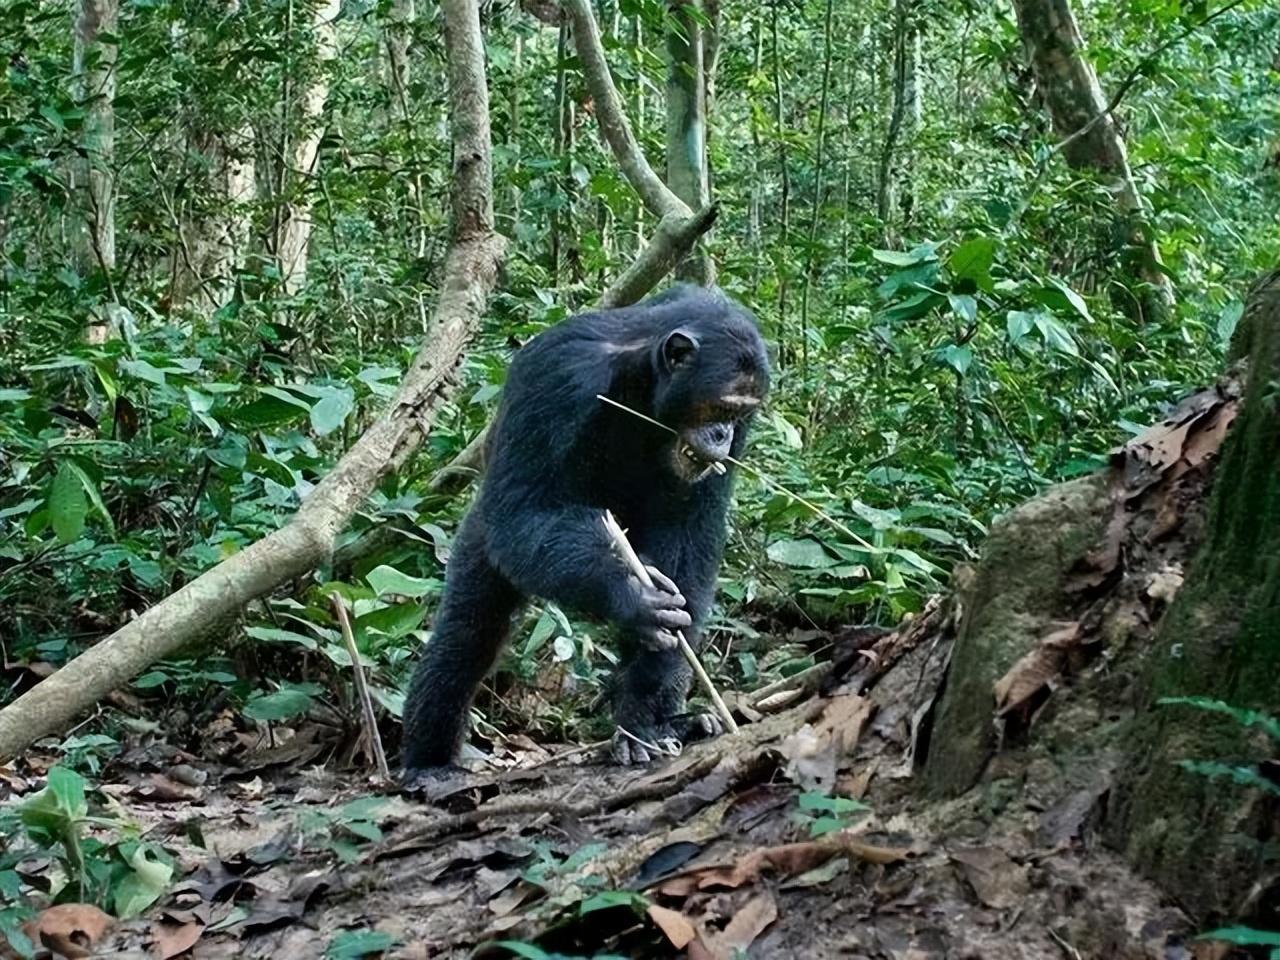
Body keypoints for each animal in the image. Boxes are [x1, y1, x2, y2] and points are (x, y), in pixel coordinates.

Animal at [401, 284, 768, 783]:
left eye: (740, 412)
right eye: (720, 406)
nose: (722, 434)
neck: (642, 378)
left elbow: (691, 540)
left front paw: (646, 708)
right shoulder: (558, 377)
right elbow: (525, 513)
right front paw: (631, 593)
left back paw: (658, 726)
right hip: (482, 533)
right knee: (469, 632)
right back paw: (428, 763)